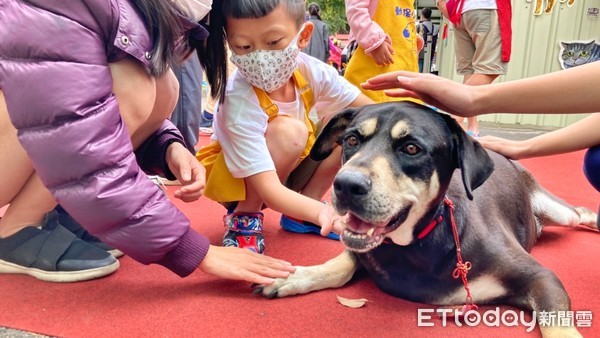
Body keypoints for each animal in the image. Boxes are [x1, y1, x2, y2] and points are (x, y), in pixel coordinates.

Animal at [258, 101, 600, 336]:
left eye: (411, 148)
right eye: (352, 141)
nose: (345, 185)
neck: (414, 245)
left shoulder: (541, 277)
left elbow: (557, 323)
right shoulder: (363, 249)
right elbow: (339, 266)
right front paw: (294, 276)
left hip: (560, 212)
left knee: (579, 213)